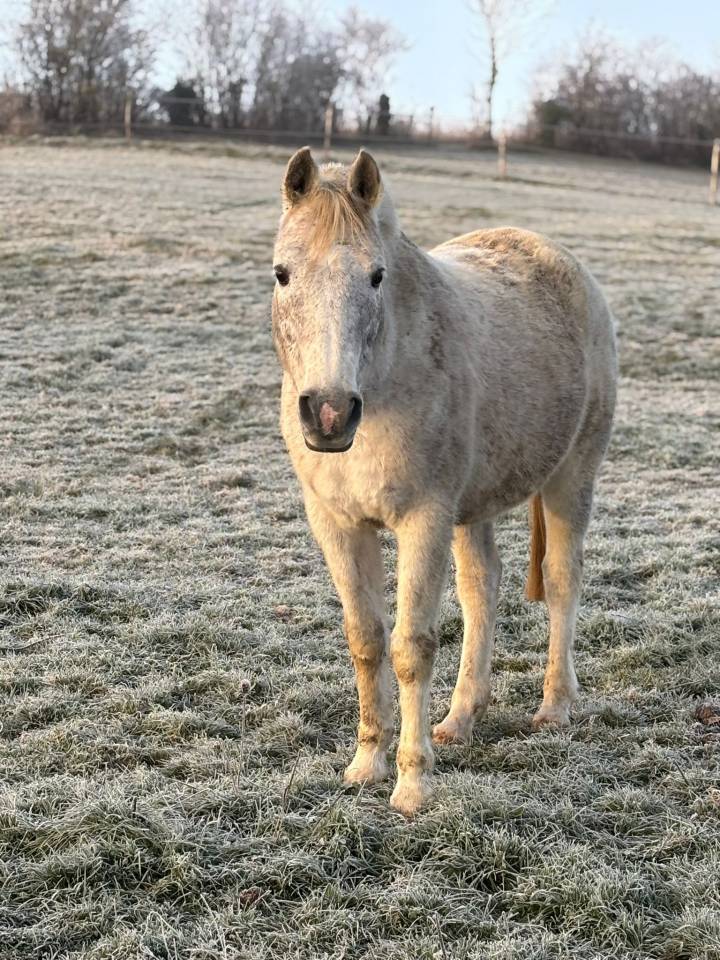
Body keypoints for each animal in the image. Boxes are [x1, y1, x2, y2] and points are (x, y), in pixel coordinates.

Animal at [270, 146, 617, 816]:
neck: (386, 380)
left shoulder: (423, 520)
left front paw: (411, 784)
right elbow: (366, 639)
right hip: (473, 508)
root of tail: (562, 261)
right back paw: (460, 719)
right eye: (282, 274)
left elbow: (411, 647)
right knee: (483, 588)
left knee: (563, 580)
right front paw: (365, 765)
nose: (328, 412)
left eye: (376, 277)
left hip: (571, 476)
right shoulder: (338, 524)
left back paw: (555, 707)